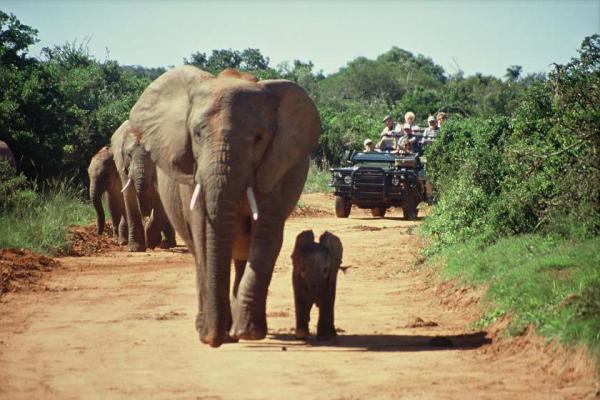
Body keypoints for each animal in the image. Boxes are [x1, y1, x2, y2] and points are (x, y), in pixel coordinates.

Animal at [111, 122, 176, 252]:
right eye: (129, 155)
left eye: (152, 155)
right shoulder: (123, 165)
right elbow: (129, 195)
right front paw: (134, 248)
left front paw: (152, 240)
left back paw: (166, 244)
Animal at [128, 66, 322, 346]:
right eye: (197, 134)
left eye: (259, 138)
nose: (214, 339)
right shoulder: (194, 173)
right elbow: (202, 233)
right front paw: (212, 333)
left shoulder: (275, 168)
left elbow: (266, 235)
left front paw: (248, 333)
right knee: (199, 252)